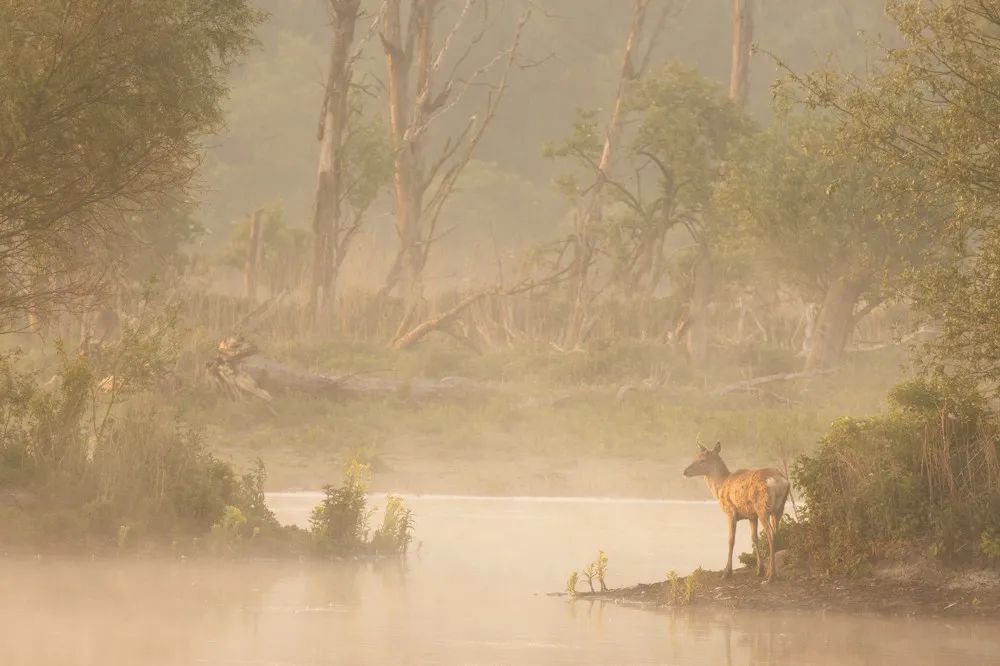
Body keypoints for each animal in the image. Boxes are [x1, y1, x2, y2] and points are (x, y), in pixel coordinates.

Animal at [684, 440, 792, 580]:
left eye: (702, 460)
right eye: (695, 456)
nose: (685, 471)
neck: (720, 487)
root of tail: (781, 481)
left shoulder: (730, 512)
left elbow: (731, 540)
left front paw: (726, 572)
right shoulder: (752, 515)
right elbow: (754, 538)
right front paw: (760, 569)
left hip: (763, 507)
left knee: (770, 534)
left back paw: (771, 576)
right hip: (779, 508)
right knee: (776, 532)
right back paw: (771, 572)